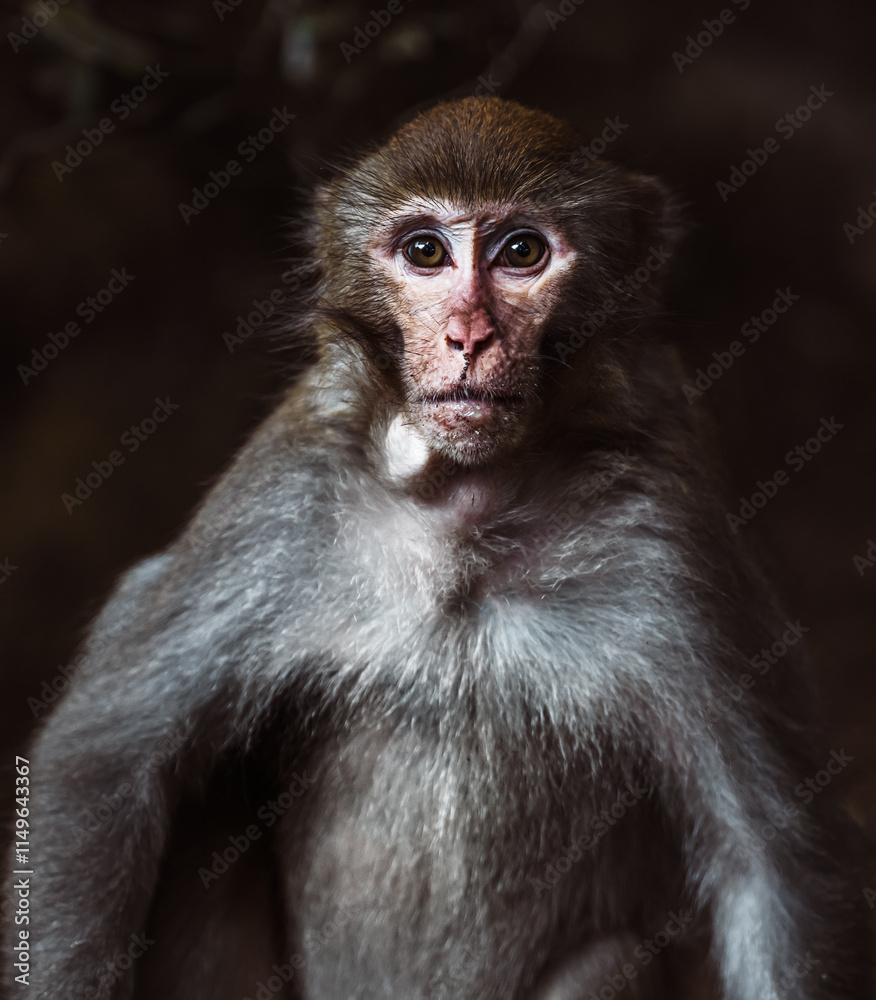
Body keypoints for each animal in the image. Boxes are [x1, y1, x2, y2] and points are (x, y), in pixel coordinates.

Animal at [4, 96, 872, 1000]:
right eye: (425, 251)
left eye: (522, 252)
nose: (468, 338)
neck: (463, 503)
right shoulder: (288, 495)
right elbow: (107, 757)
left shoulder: (665, 534)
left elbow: (777, 859)